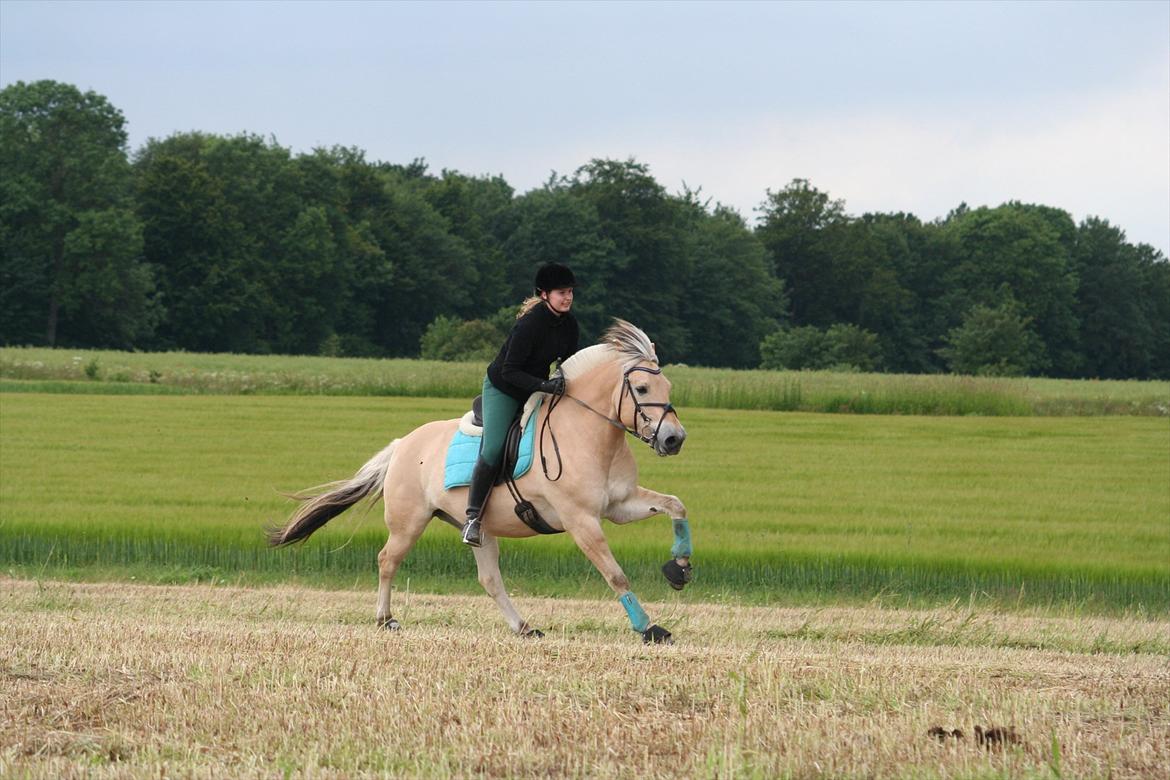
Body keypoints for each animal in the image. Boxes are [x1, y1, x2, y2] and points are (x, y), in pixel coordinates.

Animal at [267, 320, 687, 645]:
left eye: (669, 388)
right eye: (642, 390)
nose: (674, 440)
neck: (587, 433)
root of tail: (403, 444)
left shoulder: (620, 504)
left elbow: (675, 505)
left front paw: (679, 567)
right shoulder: (580, 519)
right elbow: (614, 573)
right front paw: (650, 628)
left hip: (479, 528)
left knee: (489, 578)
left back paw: (524, 627)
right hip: (408, 522)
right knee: (388, 559)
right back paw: (386, 619)